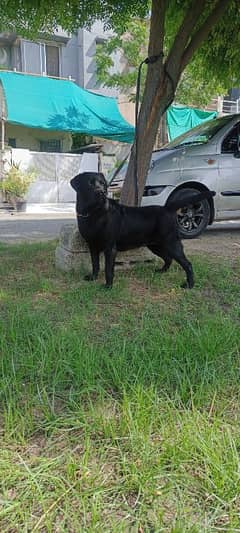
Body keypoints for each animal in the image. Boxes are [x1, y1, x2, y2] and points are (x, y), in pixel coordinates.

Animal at [70, 172, 215, 288]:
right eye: (90, 183)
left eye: (103, 184)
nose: (102, 192)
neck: (95, 212)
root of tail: (167, 208)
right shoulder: (92, 246)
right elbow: (95, 264)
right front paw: (93, 278)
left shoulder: (110, 248)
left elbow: (108, 269)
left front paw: (108, 286)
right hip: (156, 245)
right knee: (168, 258)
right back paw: (162, 271)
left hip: (171, 243)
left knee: (187, 264)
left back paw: (189, 285)